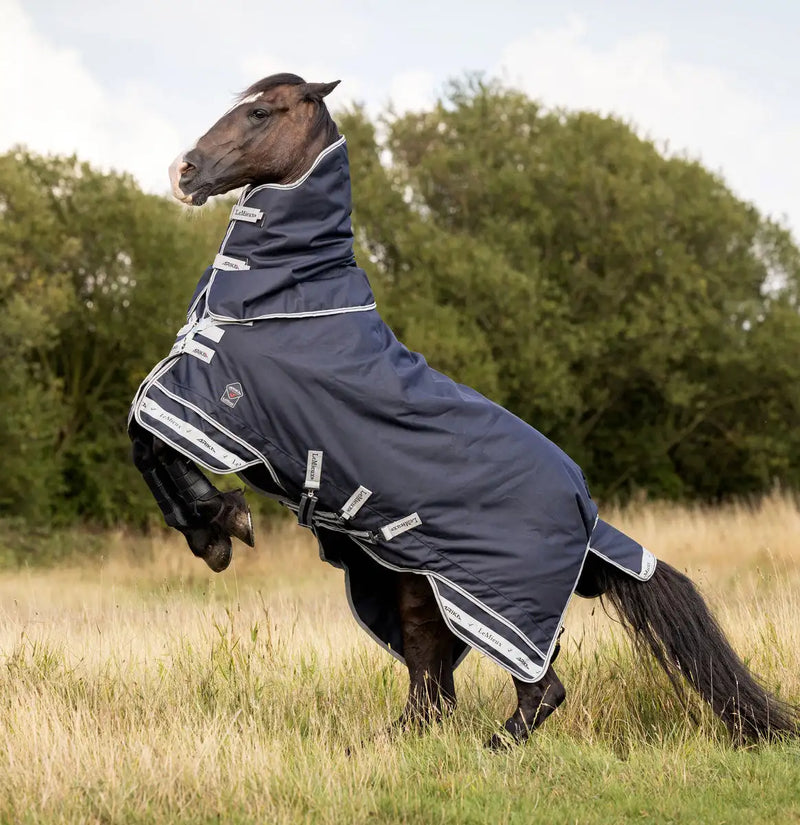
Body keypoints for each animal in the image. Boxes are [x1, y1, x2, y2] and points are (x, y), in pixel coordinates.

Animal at [129, 73, 798, 748]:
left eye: (261, 112)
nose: (182, 171)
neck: (282, 299)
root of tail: (587, 516)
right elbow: (142, 443)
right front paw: (210, 531)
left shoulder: (214, 405)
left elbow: (144, 435)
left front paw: (220, 525)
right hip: (418, 580)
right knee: (431, 675)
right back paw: (392, 743)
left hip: (496, 603)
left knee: (536, 686)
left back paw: (492, 747)